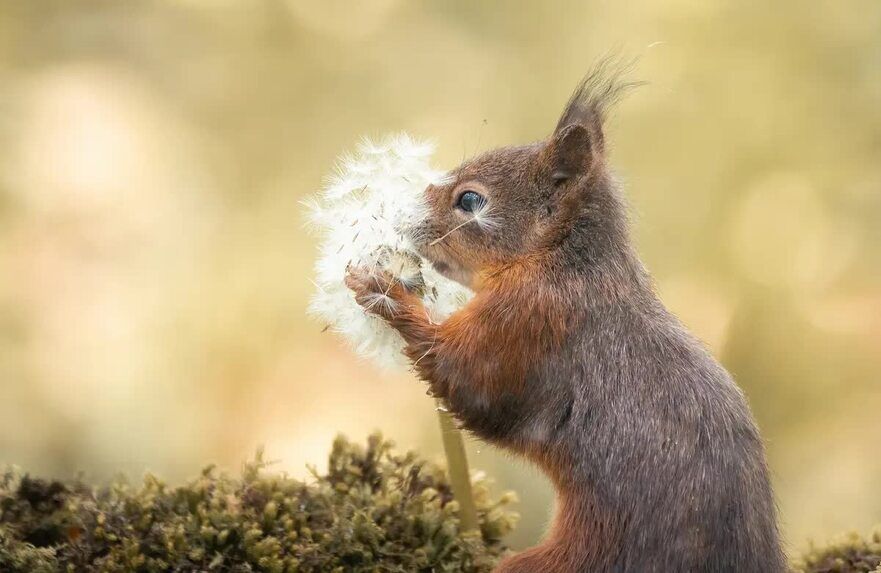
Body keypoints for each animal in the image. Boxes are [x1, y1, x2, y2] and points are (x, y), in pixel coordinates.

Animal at [344, 65, 784, 568]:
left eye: (471, 200)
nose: (403, 216)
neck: (562, 264)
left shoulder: (527, 324)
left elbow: (469, 382)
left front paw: (384, 291)